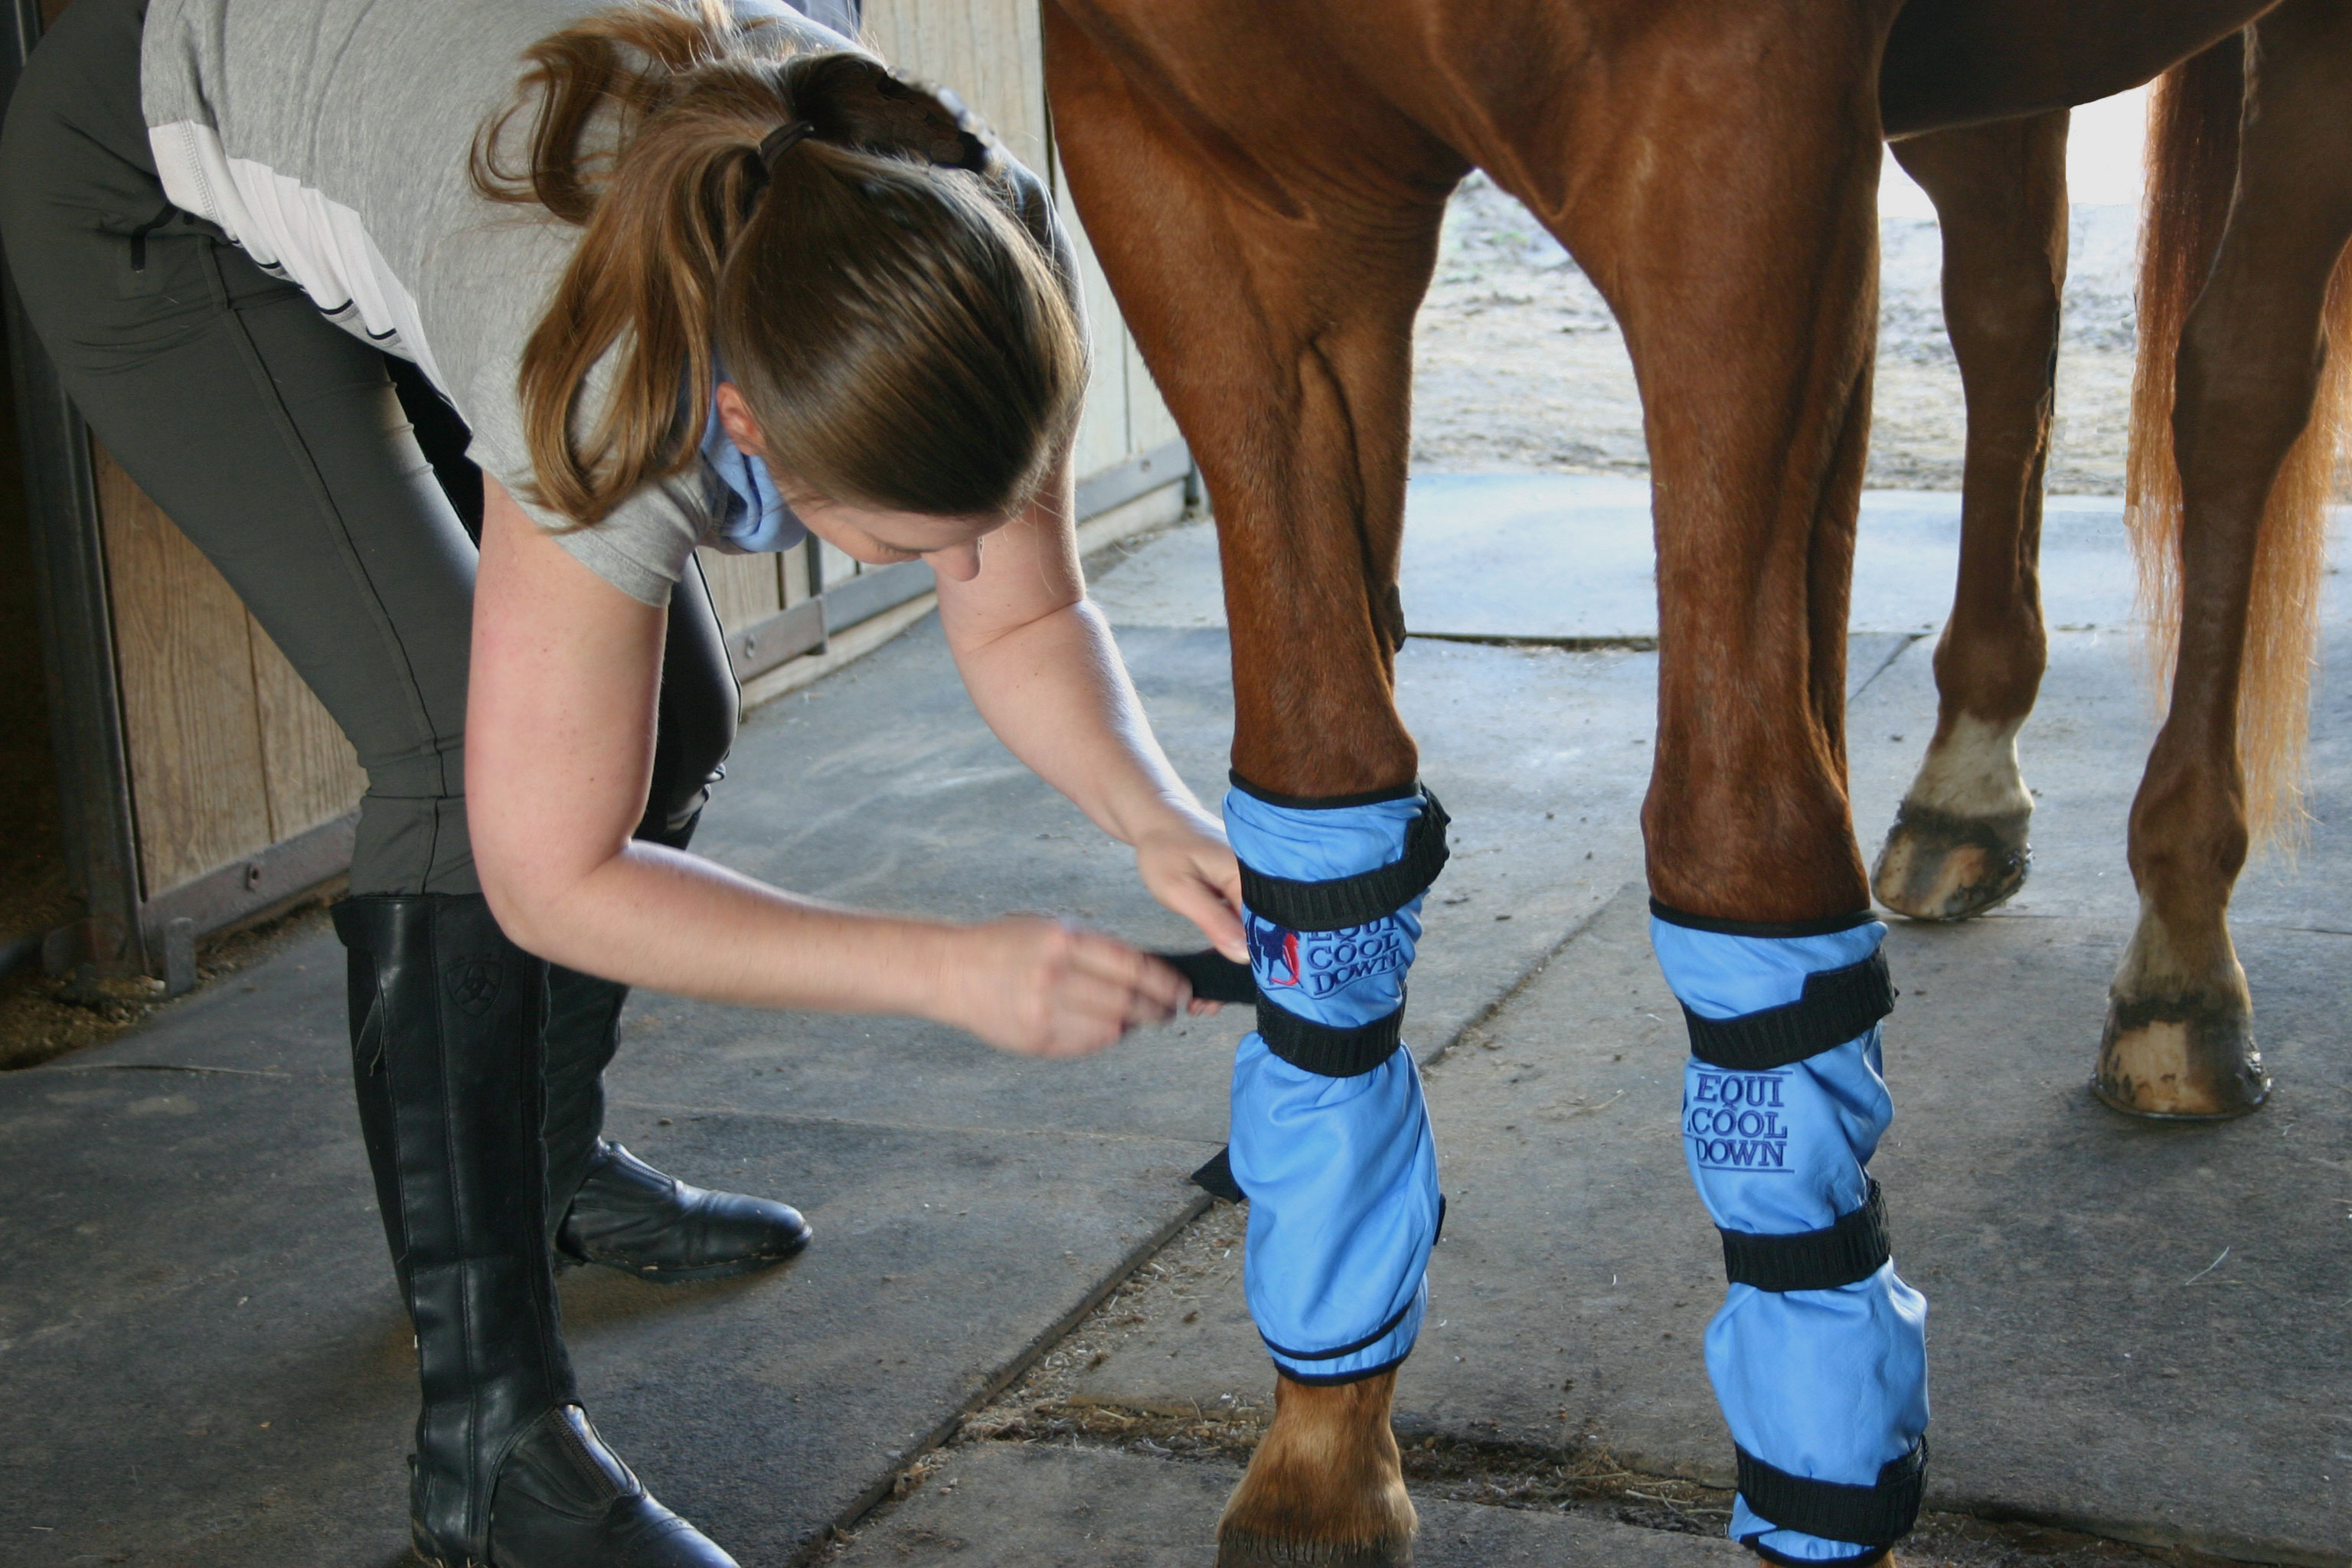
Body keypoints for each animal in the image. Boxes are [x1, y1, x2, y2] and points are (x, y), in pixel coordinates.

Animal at [1039, 1, 2350, 1563]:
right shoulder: (1196, 173)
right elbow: (1321, 804)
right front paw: (1324, 1443)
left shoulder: (1731, 130)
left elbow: (1744, 844)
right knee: (2007, 316)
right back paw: (1964, 792)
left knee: (2236, 380)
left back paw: (2182, 970)